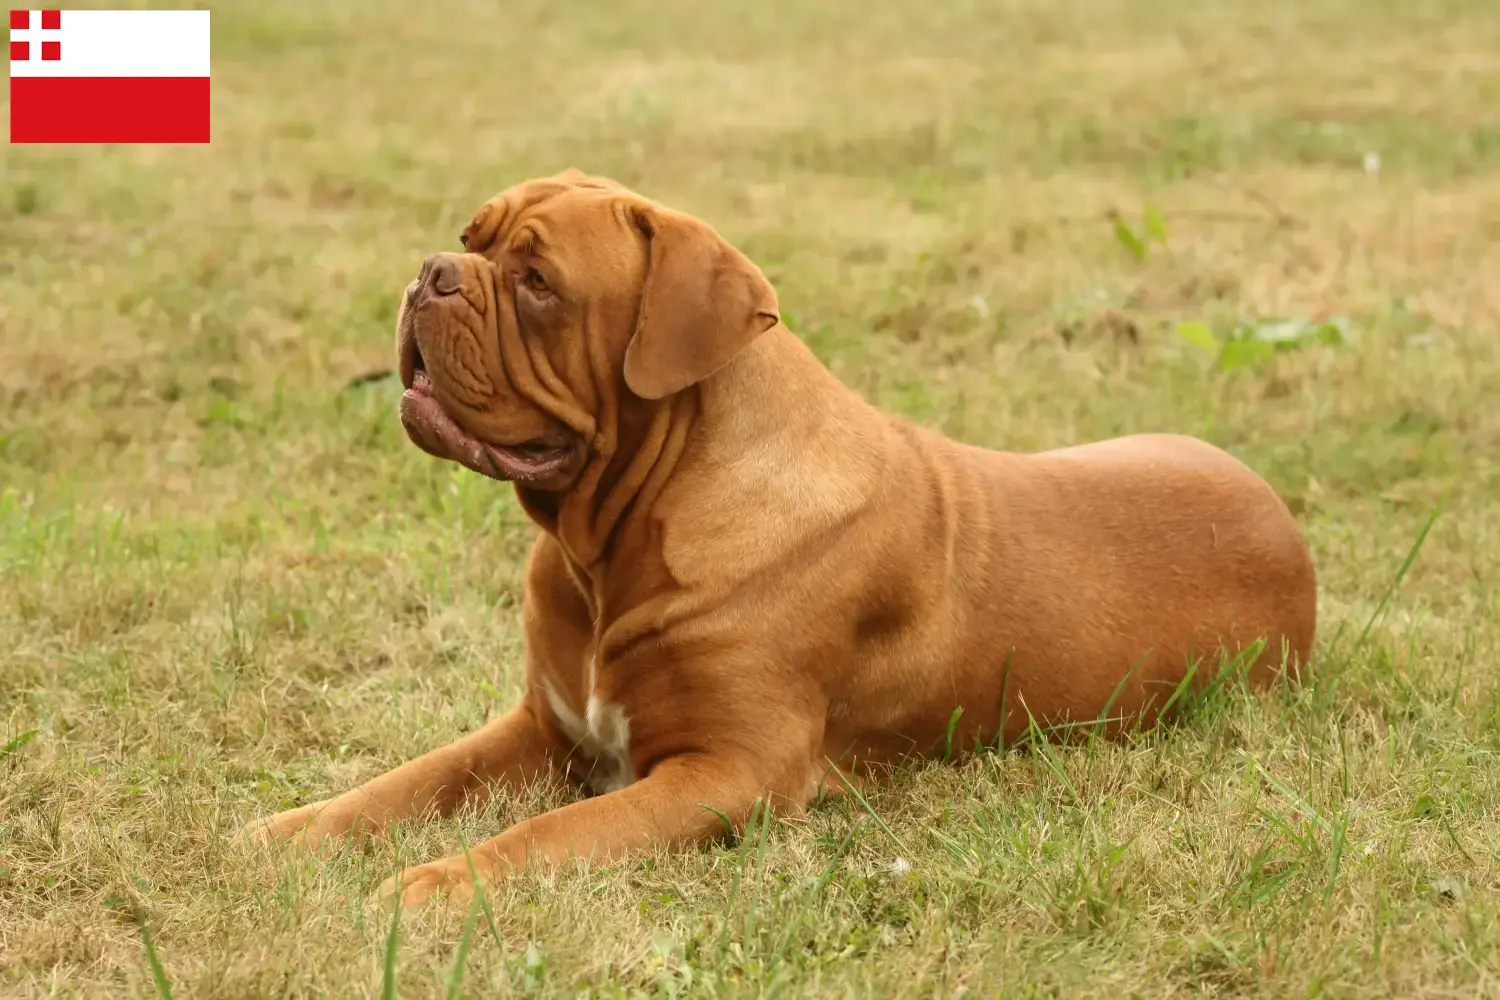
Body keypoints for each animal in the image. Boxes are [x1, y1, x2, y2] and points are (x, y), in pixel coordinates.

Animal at [231, 172, 1314, 905]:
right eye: (468, 237)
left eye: (537, 281)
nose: (431, 274)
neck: (611, 543)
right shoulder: (542, 726)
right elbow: (401, 783)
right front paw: (284, 833)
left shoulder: (725, 774)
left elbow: (548, 834)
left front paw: (434, 885)